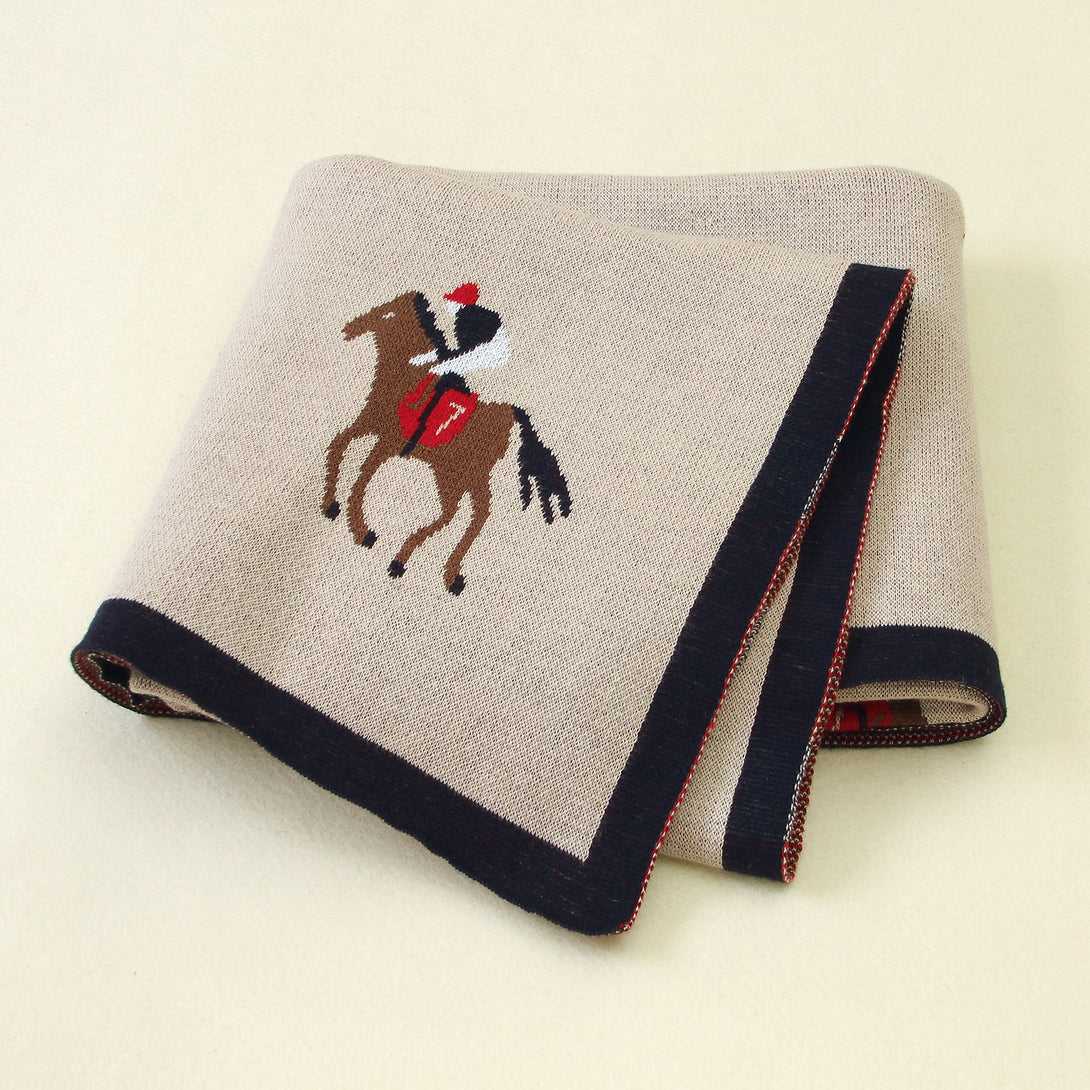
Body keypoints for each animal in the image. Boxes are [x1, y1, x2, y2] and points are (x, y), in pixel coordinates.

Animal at [321, 290, 572, 595]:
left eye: (386, 312)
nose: (349, 328)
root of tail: (512, 417)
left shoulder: (386, 437)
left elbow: (359, 468)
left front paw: (358, 527)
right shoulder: (374, 427)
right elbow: (342, 445)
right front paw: (339, 510)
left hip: (458, 472)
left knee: (461, 515)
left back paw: (408, 561)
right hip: (464, 475)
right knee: (469, 514)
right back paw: (439, 570)